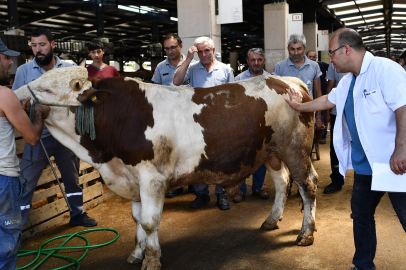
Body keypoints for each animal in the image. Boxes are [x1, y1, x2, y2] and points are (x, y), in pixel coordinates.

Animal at [15, 66, 318, 270]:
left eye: (47, 89)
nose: (14, 96)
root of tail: (288, 80)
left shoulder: (152, 178)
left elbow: (150, 221)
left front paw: (151, 259)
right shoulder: (133, 178)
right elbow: (138, 218)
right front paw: (137, 253)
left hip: (295, 150)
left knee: (308, 186)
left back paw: (306, 232)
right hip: (271, 153)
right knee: (282, 182)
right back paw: (272, 219)